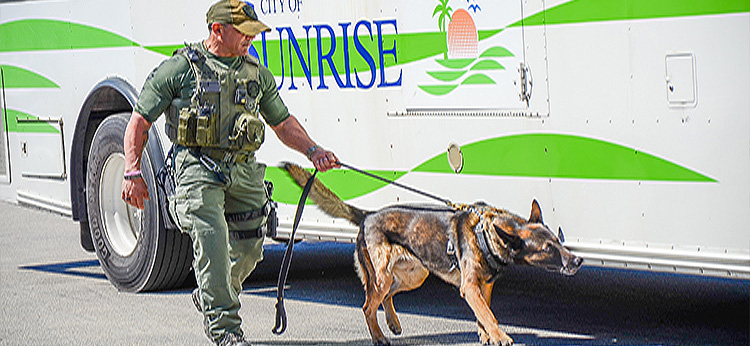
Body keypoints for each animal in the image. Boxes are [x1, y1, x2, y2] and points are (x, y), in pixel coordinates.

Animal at [284, 163, 584, 346]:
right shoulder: (470, 288)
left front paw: (487, 337)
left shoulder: (483, 288)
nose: (577, 260)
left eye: (557, 241)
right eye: (547, 249)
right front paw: (501, 336)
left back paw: (393, 323)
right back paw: (379, 336)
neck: (488, 233)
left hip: (415, 275)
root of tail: (367, 216)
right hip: (382, 276)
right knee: (368, 306)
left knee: (387, 296)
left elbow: (483, 315)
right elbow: (490, 316)